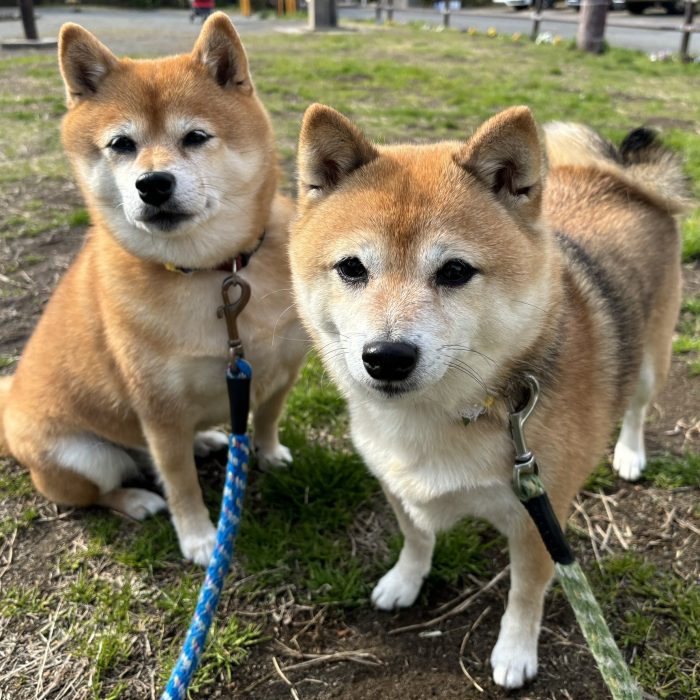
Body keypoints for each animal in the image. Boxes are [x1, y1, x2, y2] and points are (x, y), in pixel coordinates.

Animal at [0, 12, 306, 564]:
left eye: (196, 137)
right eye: (122, 144)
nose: (154, 183)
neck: (208, 271)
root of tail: (9, 411)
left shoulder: (281, 369)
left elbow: (267, 419)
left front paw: (269, 454)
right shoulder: (159, 412)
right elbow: (180, 481)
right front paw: (200, 537)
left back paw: (207, 439)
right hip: (84, 455)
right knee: (98, 491)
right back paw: (137, 500)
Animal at [290, 105, 688, 688]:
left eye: (455, 270)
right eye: (351, 268)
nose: (386, 356)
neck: (436, 418)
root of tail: (621, 176)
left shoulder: (541, 520)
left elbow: (525, 594)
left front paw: (515, 651)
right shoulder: (393, 481)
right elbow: (417, 538)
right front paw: (405, 581)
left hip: (650, 362)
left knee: (637, 408)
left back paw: (630, 454)